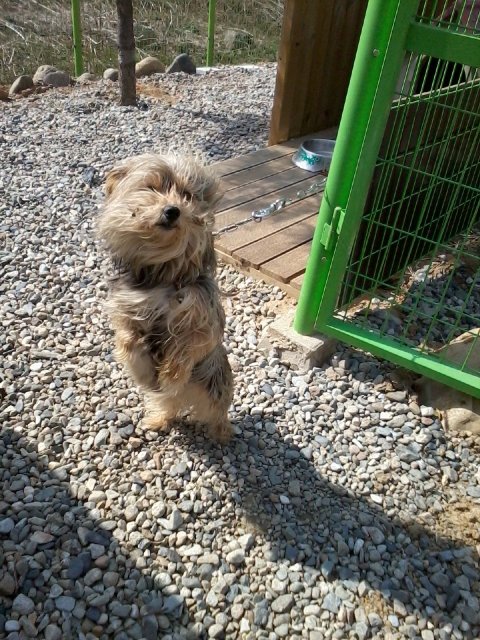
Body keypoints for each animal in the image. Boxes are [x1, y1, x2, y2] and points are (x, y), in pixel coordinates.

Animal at [97, 153, 233, 443]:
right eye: (153, 187)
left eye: (187, 195)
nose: (173, 210)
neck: (162, 271)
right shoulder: (128, 309)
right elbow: (128, 342)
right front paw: (143, 372)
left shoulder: (202, 317)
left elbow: (186, 347)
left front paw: (171, 376)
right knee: (167, 404)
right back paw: (158, 420)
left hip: (214, 383)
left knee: (217, 410)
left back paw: (221, 434)